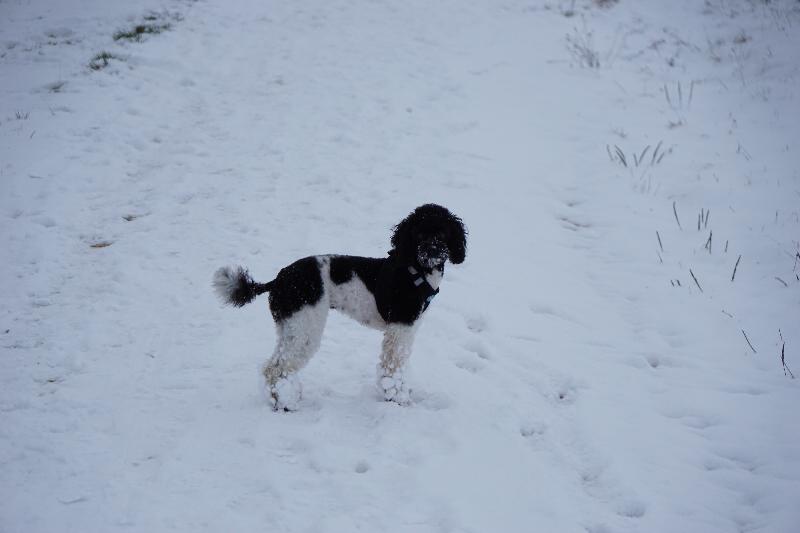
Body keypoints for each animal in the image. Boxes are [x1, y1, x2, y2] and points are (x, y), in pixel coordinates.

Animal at [213, 203, 467, 410]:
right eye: (419, 232)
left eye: (442, 232)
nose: (432, 250)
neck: (416, 269)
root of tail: (278, 280)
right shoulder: (400, 329)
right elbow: (392, 367)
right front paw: (397, 399)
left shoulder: (407, 329)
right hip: (306, 327)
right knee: (276, 368)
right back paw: (285, 404)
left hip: (290, 326)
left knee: (273, 365)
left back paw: (286, 397)